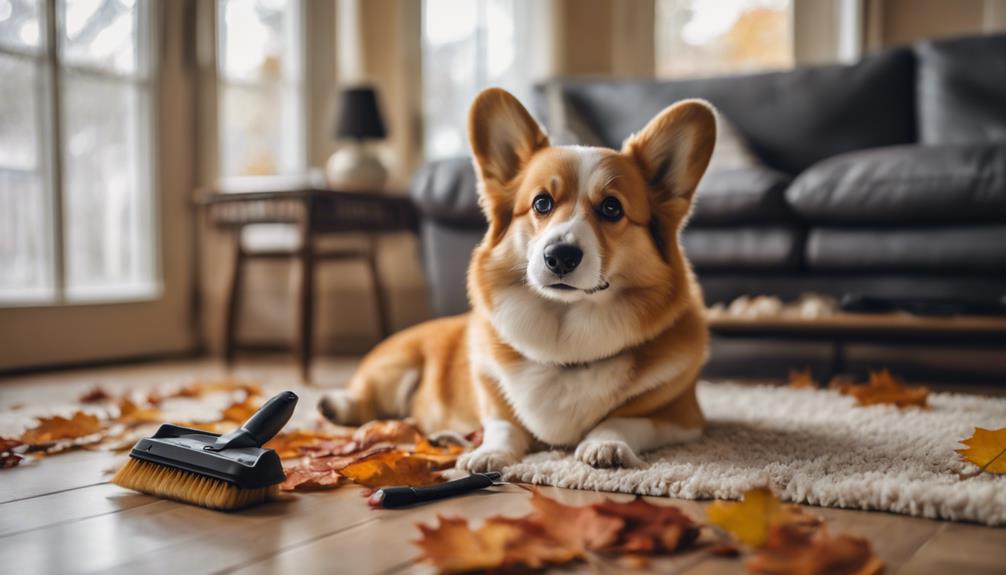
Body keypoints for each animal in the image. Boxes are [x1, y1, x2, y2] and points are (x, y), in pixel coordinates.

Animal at [319, 86, 716, 472]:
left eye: (611, 208)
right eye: (541, 203)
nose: (560, 256)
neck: (566, 340)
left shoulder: (681, 417)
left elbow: (623, 420)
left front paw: (605, 445)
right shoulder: (491, 395)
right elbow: (503, 426)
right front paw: (488, 454)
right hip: (396, 368)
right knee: (367, 399)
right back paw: (336, 405)